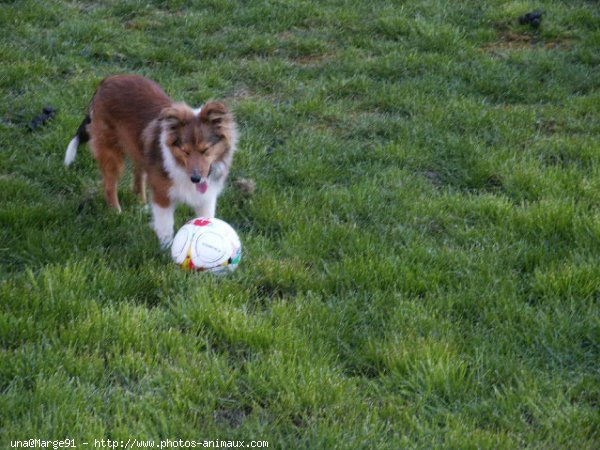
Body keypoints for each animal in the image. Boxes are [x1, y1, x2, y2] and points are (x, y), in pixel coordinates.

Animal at [63, 75, 237, 248]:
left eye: (205, 150)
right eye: (185, 151)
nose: (195, 178)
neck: (180, 164)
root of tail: (108, 80)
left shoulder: (206, 198)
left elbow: (207, 217)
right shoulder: (163, 195)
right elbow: (166, 226)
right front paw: (167, 249)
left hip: (140, 147)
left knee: (138, 175)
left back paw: (142, 204)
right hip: (111, 152)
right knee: (110, 186)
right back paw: (117, 213)